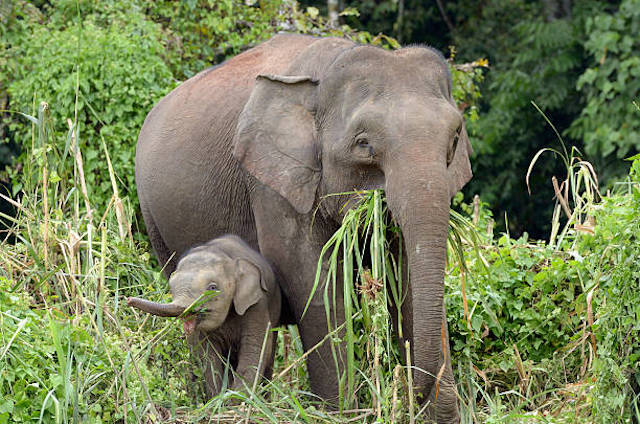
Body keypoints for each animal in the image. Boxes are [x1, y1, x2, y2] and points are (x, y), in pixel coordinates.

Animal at [127, 235, 280, 396]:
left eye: (212, 288)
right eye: (171, 285)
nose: (128, 300)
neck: (226, 256)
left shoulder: (257, 305)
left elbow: (253, 351)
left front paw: (233, 399)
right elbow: (208, 357)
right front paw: (218, 398)